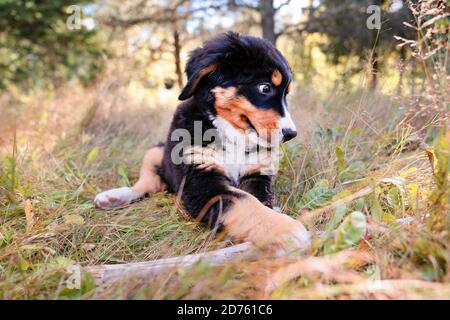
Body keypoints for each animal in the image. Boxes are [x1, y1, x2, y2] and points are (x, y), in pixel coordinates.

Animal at [96, 31, 310, 252]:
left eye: (286, 93)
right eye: (265, 88)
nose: (291, 133)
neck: (233, 136)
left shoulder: (256, 174)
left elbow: (259, 200)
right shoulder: (201, 177)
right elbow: (245, 202)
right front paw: (285, 229)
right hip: (156, 151)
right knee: (147, 183)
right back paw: (115, 196)